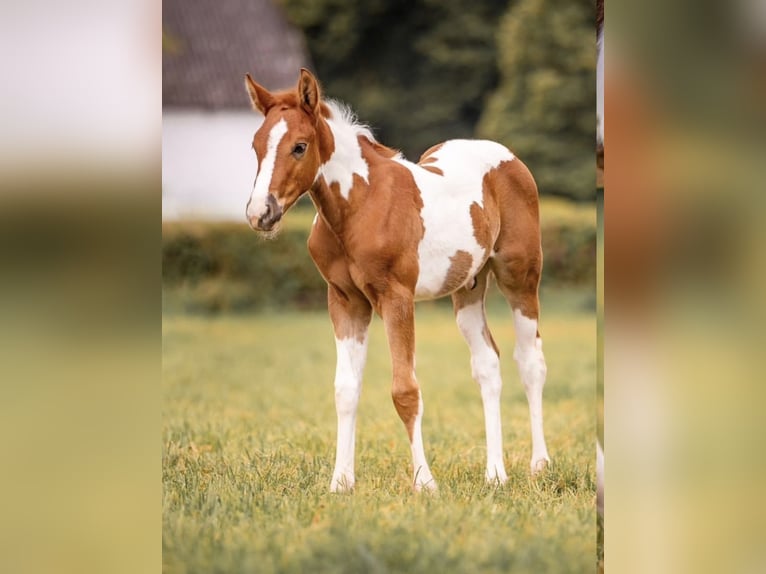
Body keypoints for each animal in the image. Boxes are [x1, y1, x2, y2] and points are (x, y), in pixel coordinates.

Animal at [244, 68, 550, 492]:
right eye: (256, 146)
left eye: (299, 147)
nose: (261, 213)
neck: (361, 204)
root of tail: (509, 157)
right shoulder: (345, 301)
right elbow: (345, 389)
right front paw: (341, 482)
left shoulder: (396, 298)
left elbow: (405, 390)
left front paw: (424, 482)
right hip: (468, 289)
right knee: (487, 364)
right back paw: (495, 474)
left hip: (520, 277)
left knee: (531, 361)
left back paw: (539, 465)